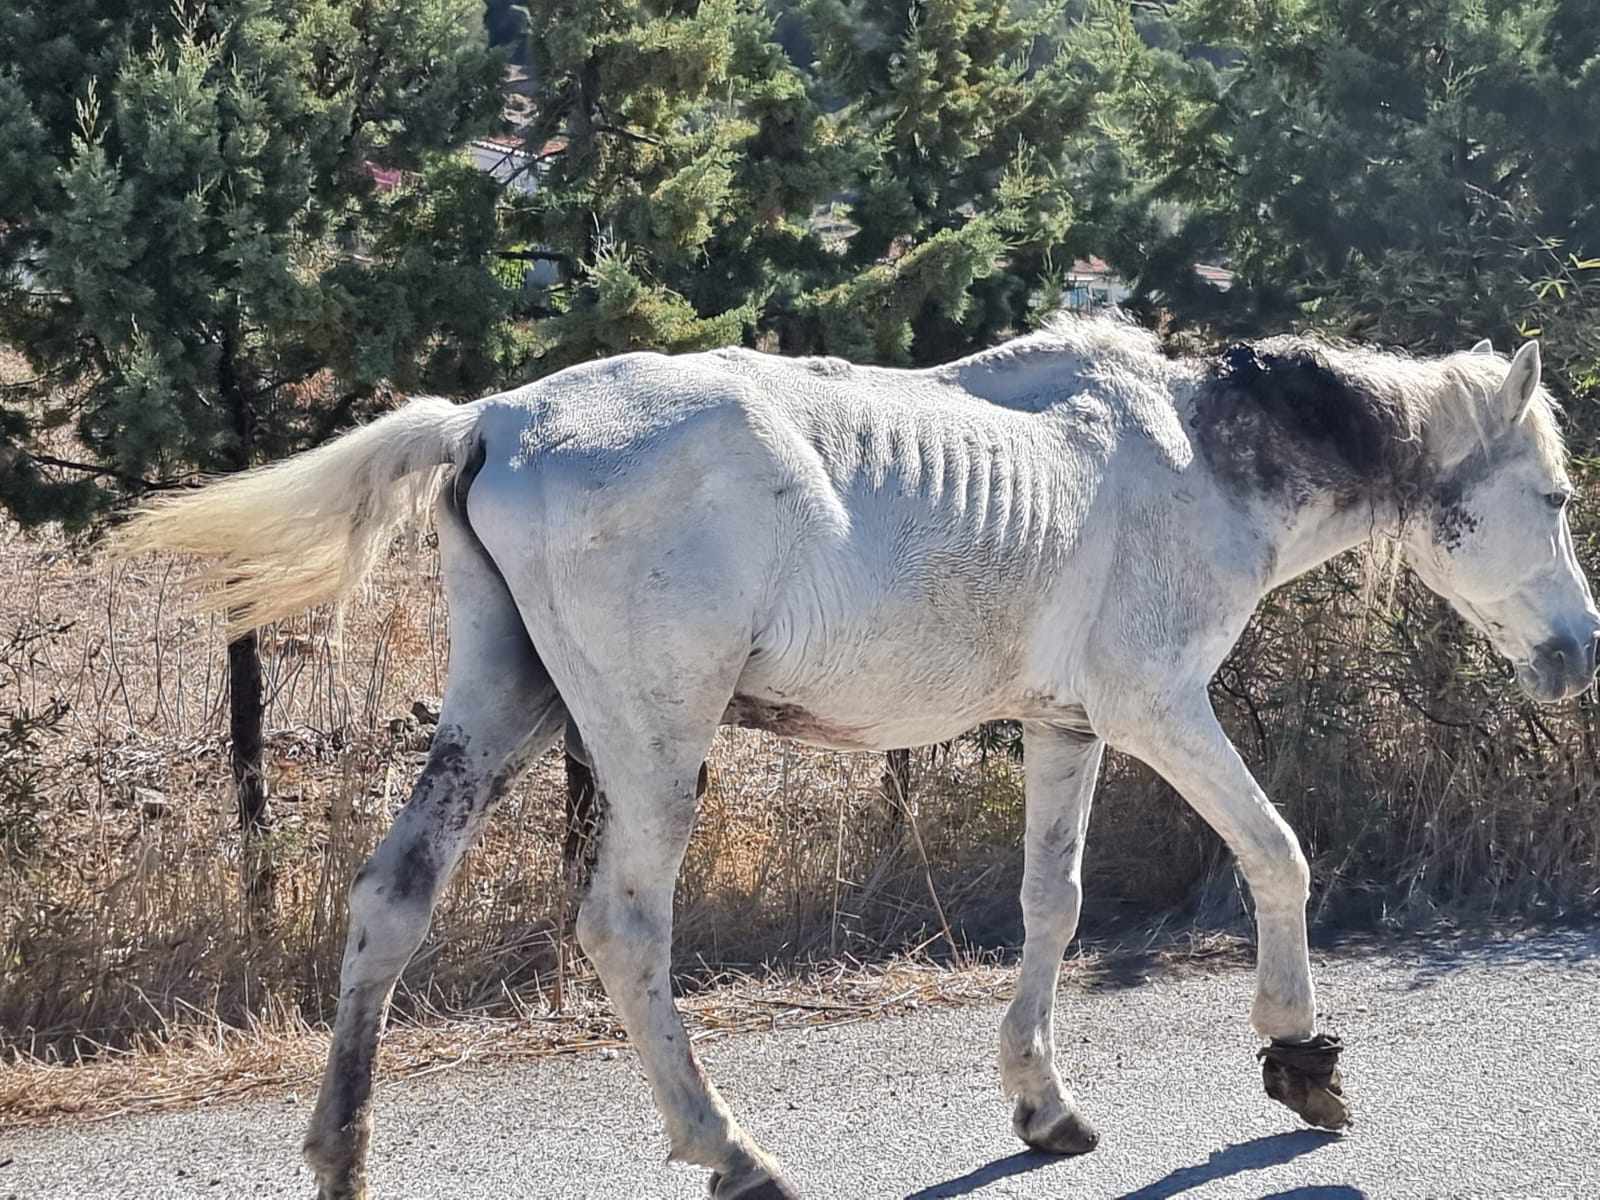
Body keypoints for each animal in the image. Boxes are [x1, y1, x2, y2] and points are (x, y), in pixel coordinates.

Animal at [116, 315, 1600, 1196]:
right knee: (623, 931)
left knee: (391, 902)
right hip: (650, 745)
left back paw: (341, 1151)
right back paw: (730, 1152)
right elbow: (1275, 855)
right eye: (1551, 496)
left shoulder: (1065, 727)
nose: (1580, 650)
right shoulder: (1157, 709)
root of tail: (498, 419)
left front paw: (1044, 1105)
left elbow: (1050, 906)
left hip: (499, 709)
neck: (1191, 460)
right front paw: (1301, 1059)